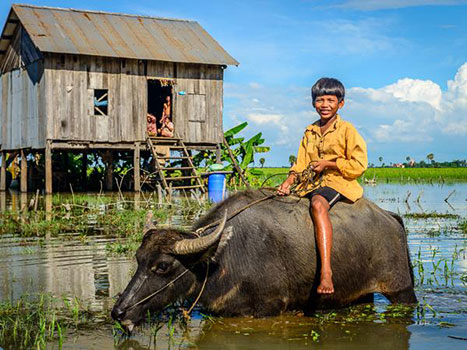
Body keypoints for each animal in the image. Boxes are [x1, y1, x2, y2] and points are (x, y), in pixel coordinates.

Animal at [112, 189, 416, 328]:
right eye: (139, 259)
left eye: (163, 266)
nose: (119, 313)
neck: (220, 260)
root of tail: (390, 217)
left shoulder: (268, 308)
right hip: (360, 294)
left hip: (401, 290)